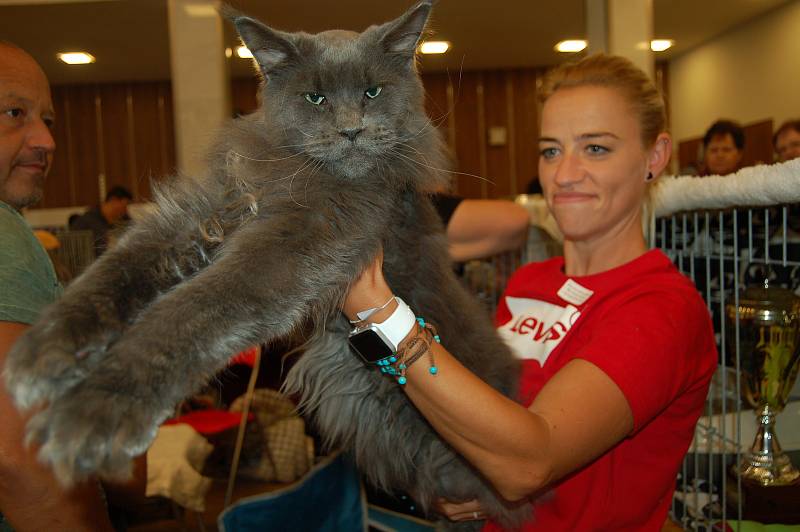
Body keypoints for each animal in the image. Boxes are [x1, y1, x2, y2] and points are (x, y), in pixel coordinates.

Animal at [7, 2, 532, 528]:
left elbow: (189, 313)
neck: (292, 173)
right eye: (316, 97)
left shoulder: (291, 246)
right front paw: (45, 350)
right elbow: (116, 272)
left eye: (372, 92)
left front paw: (97, 410)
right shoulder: (203, 212)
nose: (351, 130)